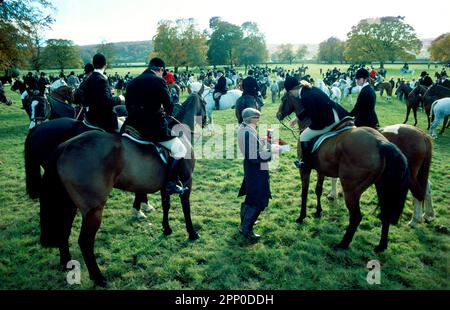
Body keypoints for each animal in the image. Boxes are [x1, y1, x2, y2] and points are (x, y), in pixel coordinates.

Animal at [37, 93, 207, 286]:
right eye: (205, 103)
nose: (206, 121)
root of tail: (65, 146)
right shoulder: (187, 181)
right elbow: (186, 209)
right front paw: (192, 233)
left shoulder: (167, 185)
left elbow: (166, 205)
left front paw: (167, 229)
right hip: (93, 210)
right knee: (85, 242)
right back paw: (99, 278)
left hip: (68, 204)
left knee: (63, 231)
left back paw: (67, 264)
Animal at [276, 88, 410, 253]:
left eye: (283, 98)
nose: (278, 115)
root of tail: (381, 143)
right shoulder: (321, 170)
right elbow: (318, 190)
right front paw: (318, 212)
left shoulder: (305, 170)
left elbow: (304, 192)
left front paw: (301, 217)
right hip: (382, 187)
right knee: (385, 213)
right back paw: (381, 246)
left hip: (351, 189)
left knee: (356, 217)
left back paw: (342, 244)